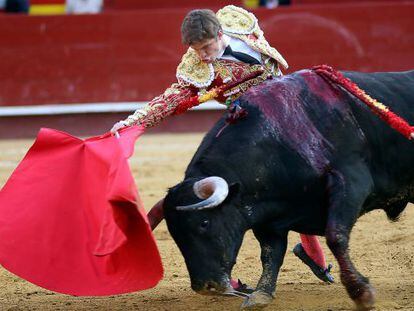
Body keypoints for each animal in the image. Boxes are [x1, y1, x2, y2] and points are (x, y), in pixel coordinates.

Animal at [152, 69, 414, 310]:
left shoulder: (351, 182)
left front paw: (361, 292)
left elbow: (336, 236)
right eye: (174, 234)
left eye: (204, 222)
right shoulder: (265, 214)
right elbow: (270, 253)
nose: (205, 287)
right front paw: (261, 294)